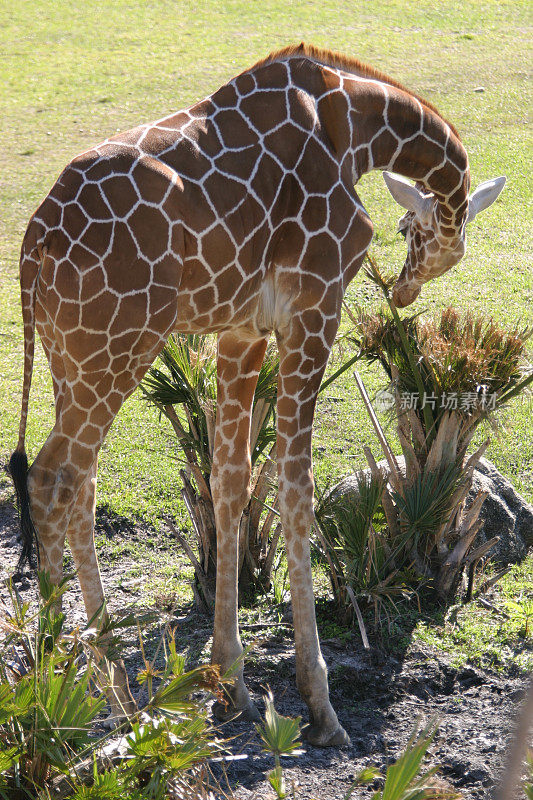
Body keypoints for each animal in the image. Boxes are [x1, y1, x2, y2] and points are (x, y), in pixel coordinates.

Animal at [10, 42, 504, 744]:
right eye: (410, 229)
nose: (405, 289)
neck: (356, 127)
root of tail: (36, 240)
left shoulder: (242, 330)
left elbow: (232, 480)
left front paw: (233, 688)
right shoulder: (313, 306)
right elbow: (297, 487)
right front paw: (321, 708)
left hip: (67, 358)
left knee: (82, 483)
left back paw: (112, 699)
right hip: (117, 345)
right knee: (54, 480)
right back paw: (65, 706)